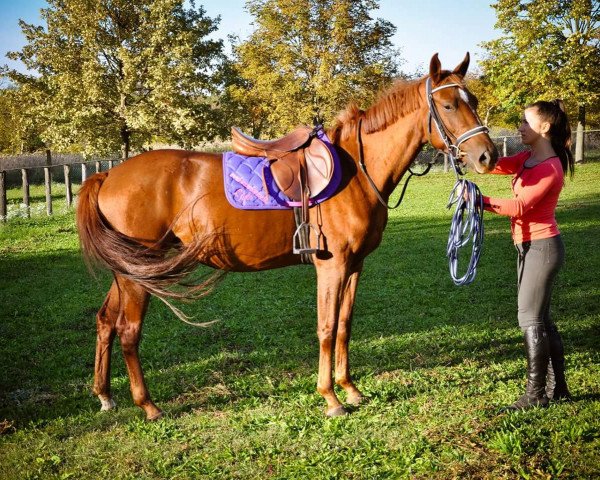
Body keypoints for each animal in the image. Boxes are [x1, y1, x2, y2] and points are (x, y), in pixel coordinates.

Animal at [76, 53, 496, 420]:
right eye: (447, 106)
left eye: (472, 101)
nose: (487, 156)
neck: (357, 171)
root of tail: (107, 175)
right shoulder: (332, 266)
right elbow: (326, 328)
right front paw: (330, 397)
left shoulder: (355, 266)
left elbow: (345, 325)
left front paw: (350, 388)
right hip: (138, 276)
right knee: (128, 331)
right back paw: (147, 405)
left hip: (128, 272)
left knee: (105, 320)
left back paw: (105, 395)